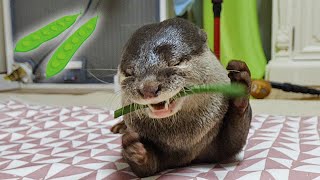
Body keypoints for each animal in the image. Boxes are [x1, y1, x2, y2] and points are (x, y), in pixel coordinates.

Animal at [111, 17, 251, 178]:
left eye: (175, 62)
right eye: (129, 73)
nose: (148, 88)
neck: (183, 143)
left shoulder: (218, 144)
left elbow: (233, 142)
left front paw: (240, 84)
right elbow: (147, 168)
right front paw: (134, 148)